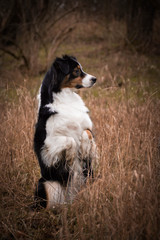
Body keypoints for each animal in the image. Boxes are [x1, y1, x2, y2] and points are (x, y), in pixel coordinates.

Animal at [33, 54, 97, 208]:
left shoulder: (88, 128)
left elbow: (85, 133)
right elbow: (70, 140)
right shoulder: (47, 146)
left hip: (89, 178)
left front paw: (84, 149)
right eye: (76, 71)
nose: (95, 79)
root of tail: (69, 200)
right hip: (46, 183)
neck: (66, 97)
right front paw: (70, 156)